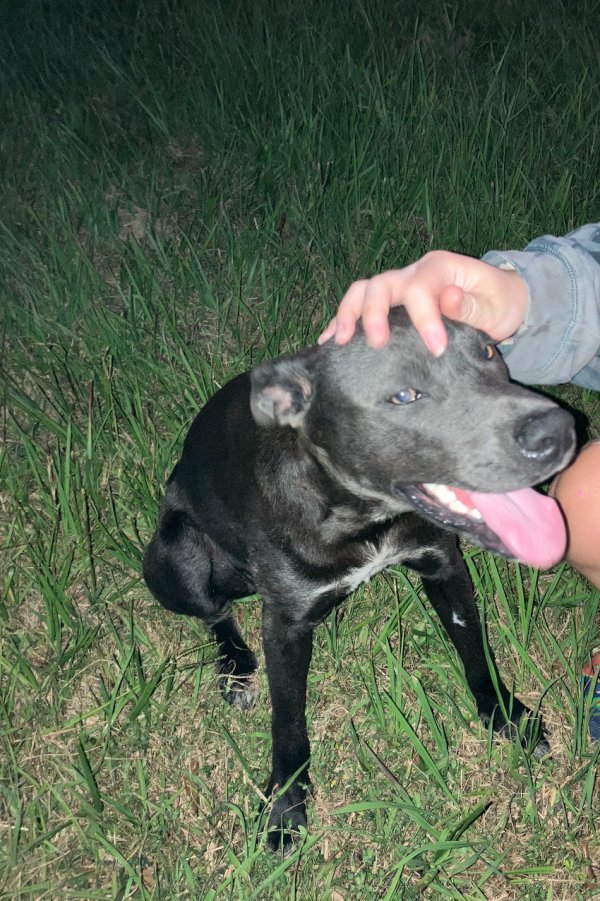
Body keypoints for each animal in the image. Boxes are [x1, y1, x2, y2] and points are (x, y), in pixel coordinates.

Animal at [143, 310, 576, 852]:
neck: (365, 516)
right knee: (215, 611)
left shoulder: (444, 568)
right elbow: (288, 722)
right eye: (404, 395)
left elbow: (475, 650)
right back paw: (235, 666)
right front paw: (285, 807)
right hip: (175, 558)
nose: (560, 431)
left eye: (490, 352)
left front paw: (505, 716)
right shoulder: (284, 625)